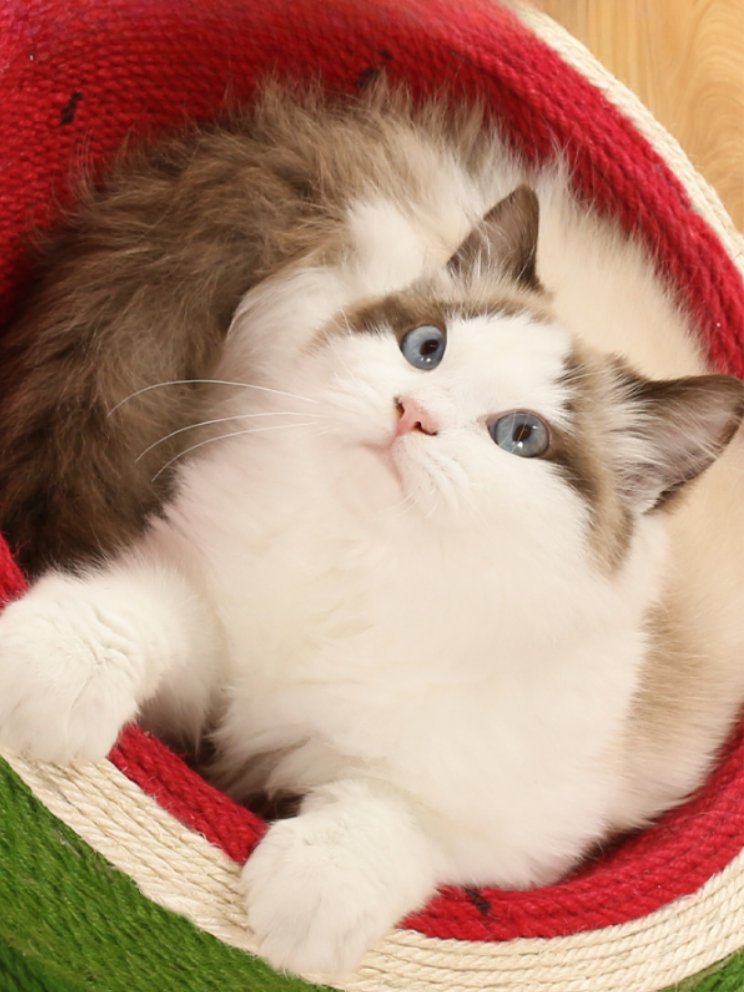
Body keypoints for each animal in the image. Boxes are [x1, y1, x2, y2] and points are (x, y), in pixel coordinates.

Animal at [0, 87, 744, 976]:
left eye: (521, 436)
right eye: (426, 349)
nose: (410, 413)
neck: (361, 566)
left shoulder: (523, 829)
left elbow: (394, 818)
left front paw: (303, 906)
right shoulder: (201, 605)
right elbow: (125, 618)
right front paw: (43, 677)